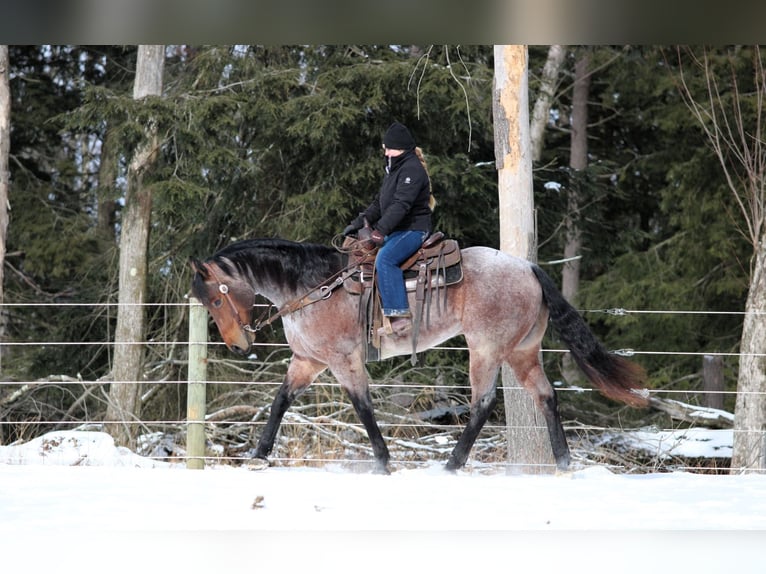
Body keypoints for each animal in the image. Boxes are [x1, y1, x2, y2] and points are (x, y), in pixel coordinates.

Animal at [190, 236, 648, 474]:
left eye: (215, 298)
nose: (237, 345)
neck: (313, 287)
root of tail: (528, 268)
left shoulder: (342, 360)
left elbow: (362, 406)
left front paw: (382, 461)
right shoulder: (307, 362)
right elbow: (280, 402)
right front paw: (258, 454)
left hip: (485, 349)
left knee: (483, 402)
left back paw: (452, 463)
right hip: (522, 352)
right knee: (547, 397)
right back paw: (563, 462)